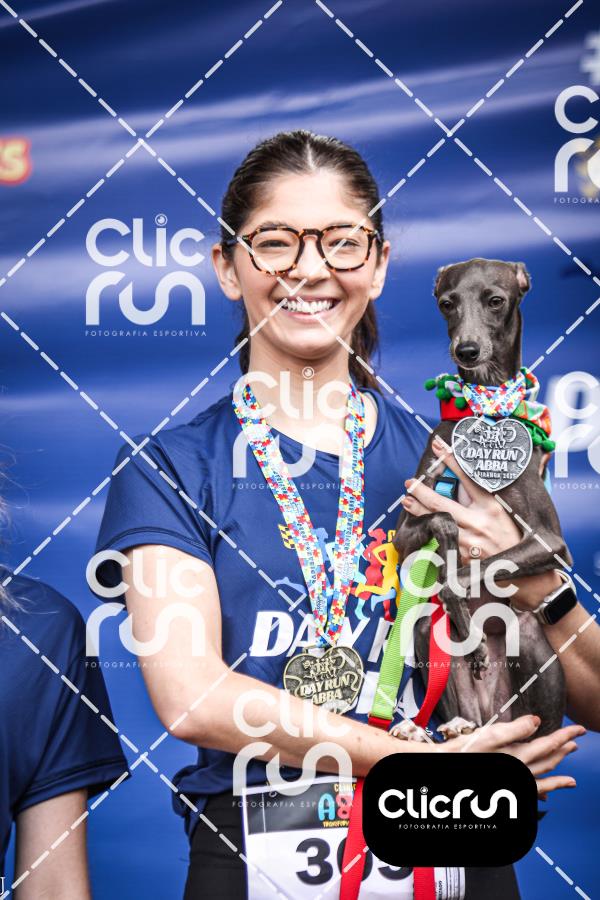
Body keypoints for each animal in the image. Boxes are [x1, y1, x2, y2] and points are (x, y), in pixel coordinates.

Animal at [392, 258, 570, 739]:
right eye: (446, 303)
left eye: (495, 300)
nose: (467, 350)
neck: (484, 413)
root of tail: (495, 713)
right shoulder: (408, 524)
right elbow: (441, 522)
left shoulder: (551, 543)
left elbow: (467, 572)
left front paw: (459, 595)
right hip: (424, 634)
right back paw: (442, 727)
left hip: (528, 637)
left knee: (538, 731)